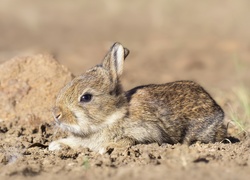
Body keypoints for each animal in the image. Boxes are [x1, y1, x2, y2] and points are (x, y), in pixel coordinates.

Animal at [48, 42, 227, 153]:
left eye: (86, 97)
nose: (56, 114)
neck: (114, 115)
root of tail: (218, 111)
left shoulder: (146, 133)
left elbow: (128, 140)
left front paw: (107, 148)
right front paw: (55, 145)